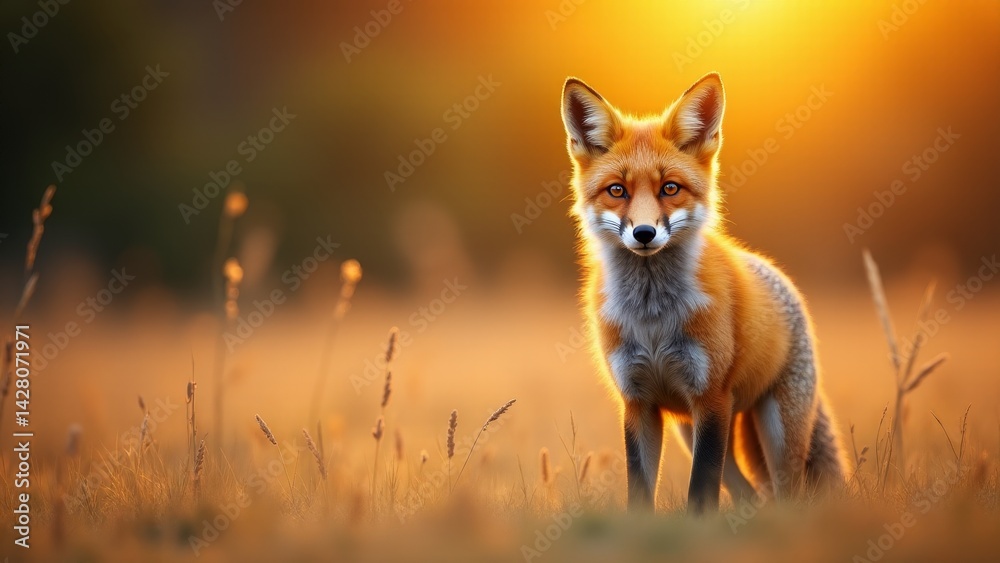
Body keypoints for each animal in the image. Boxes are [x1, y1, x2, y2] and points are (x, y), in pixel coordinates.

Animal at [559, 72, 846, 514]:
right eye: (617, 190)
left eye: (670, 188)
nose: (645, 233)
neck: (653, 320)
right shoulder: (638, 402)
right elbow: (639, 489)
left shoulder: (710, 397)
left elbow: (701, 491)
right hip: (689, 428)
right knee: (750, 492)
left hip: (773, 430)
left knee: (786, 493)